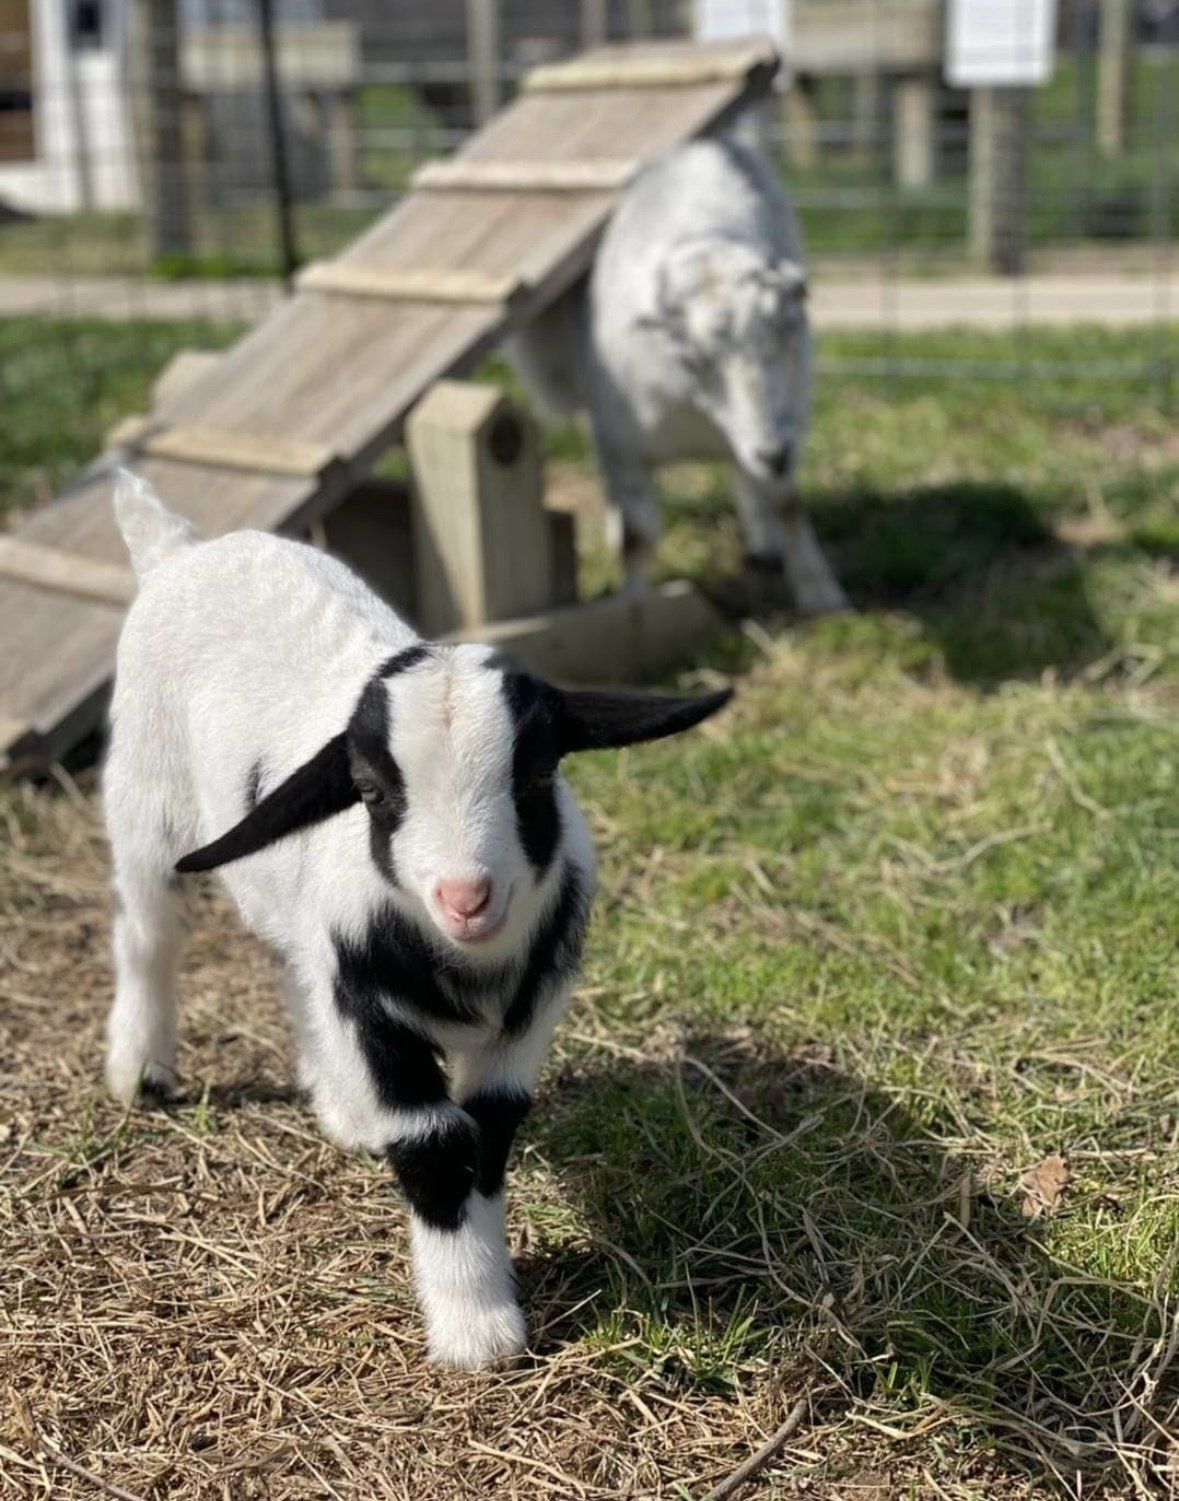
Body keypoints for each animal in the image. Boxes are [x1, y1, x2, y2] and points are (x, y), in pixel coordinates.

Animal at [103, 472, 731, 1369]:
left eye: (536, 773)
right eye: (368, 789)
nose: (466, 896)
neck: (465, 964)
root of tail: (181, 545)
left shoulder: (527, 1015)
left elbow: (489, 1127)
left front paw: (486, 1302)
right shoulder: (377, 1014)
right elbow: (433, 1141)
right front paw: (474, 1329)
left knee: (295, 967)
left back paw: (340, 1105)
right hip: (144, 793)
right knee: (148, 931)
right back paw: (141, 1069)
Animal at [506, 135, 847, 615]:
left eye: (788, 331)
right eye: (691, 357)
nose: (773, 454)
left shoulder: (785, 423)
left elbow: (788, 504)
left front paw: (822, 595)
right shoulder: (620, 442)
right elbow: (637, 532)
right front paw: (632, 604)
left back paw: (763, 543)